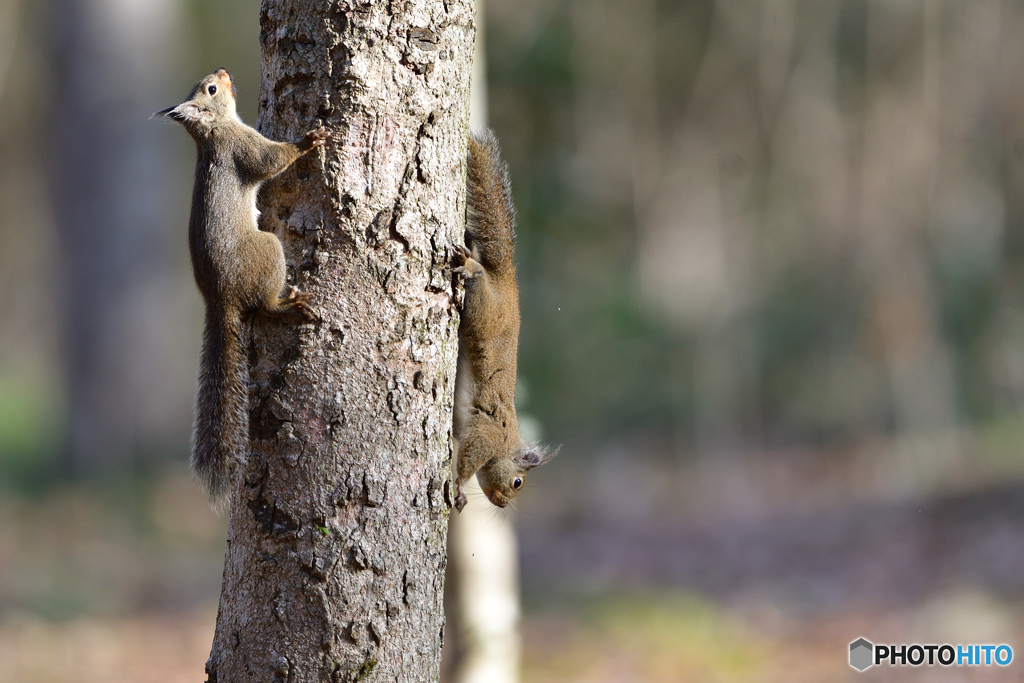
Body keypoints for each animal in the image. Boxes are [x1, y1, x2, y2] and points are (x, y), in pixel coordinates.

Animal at [155, 69, 325, 505]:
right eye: (211, 89)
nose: (223, 72)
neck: (213, 131)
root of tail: (220, 298)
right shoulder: (242, 148)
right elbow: (271, 161)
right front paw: (307, 142)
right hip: (267, 250)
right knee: (264, 305)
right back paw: (290, 304)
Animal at [452, 131, 557, 509]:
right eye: (517, 483)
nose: (501, 503)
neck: (508, 442)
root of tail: (507, 280)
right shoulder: (487, 432)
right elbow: (467, 461)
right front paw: (458, 487)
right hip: (485, 312)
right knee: (478, 278)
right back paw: (472, 268)